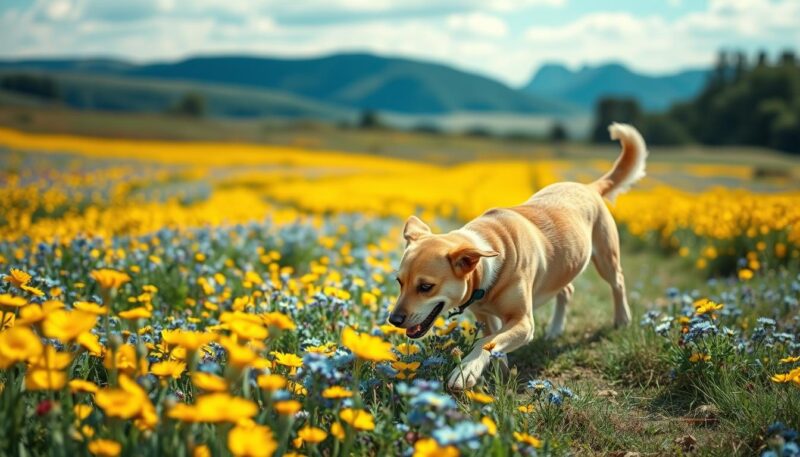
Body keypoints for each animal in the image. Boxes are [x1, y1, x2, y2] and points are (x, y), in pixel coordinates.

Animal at [390, 122, 648, 388]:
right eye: (399, 282)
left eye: (426, 287)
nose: (393, 320)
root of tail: (588, 187)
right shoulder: (484, 316)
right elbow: (491, 340)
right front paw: (497, 371)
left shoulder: (524, 321)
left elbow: (486, 342)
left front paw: (466, 371)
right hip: (564, 264)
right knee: (567, 289)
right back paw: (555, 330)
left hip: (606, 256)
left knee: (617, 282)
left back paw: (622, 319)